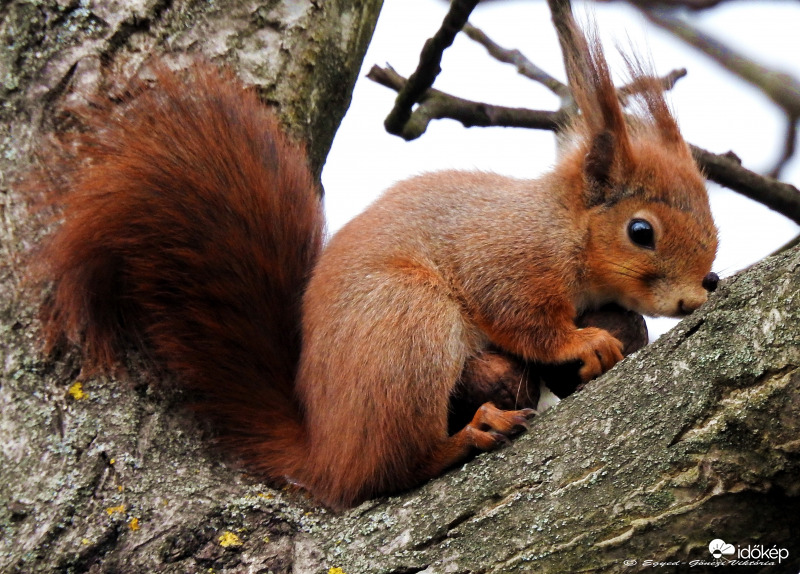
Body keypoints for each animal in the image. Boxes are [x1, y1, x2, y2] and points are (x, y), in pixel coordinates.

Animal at [29, 22, 720, 510]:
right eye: (641, 232)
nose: (695, 295)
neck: (565, 228)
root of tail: (325, 452)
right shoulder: (508, 257)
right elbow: (525, 318)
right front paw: (584, 343)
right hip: (405, 325)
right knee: (388, 468)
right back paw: (468, 434)